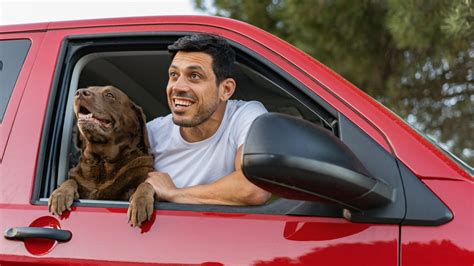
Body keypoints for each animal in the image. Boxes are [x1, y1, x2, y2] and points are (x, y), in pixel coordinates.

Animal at [48, 85, 156, 227]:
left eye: (110, 95)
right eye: (87, 88)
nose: (79, 93)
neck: (101, 161)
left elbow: (146, 184)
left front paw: (140, 203)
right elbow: (70, 180)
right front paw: (60, 194)